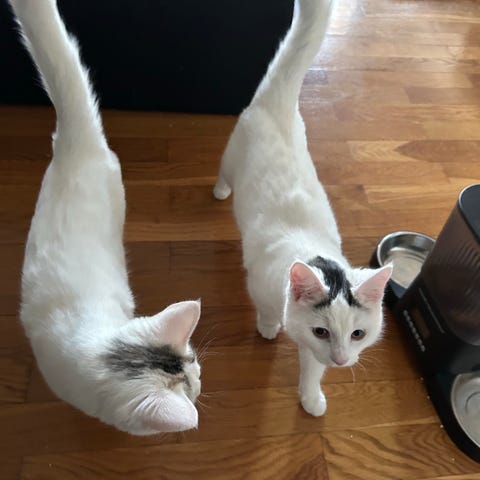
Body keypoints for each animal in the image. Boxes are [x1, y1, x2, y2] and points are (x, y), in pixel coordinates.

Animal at [214, 0, 392, 417]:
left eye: (358, 334)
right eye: (321, 330)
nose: (342, 360)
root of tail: (277, 105)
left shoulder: (315, 352)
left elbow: (313, 367)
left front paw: (311, 397)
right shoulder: (259, 285)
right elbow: (266, 310)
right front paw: (268, 327)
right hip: (231, 158)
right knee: (223, 173)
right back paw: (220, 191)